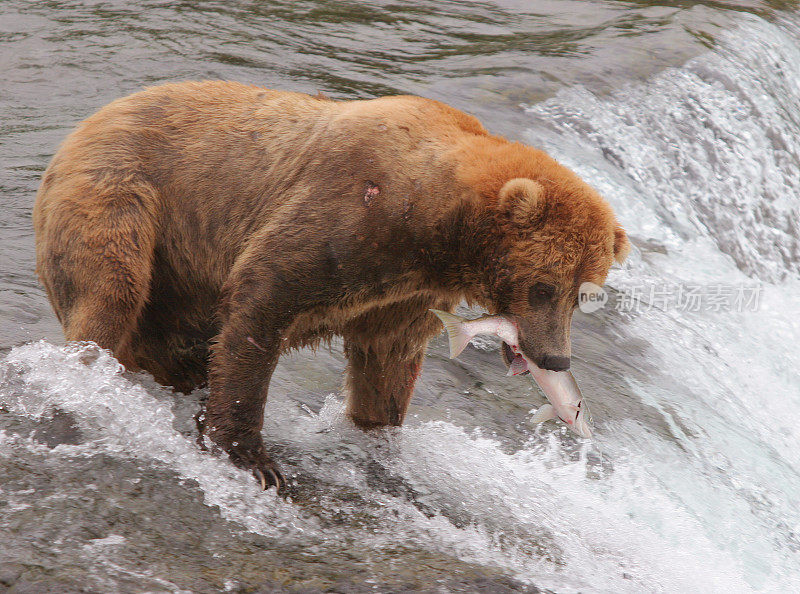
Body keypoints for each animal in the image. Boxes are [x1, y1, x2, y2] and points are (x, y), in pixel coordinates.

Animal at [32, 81, 632, 488]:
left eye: (584, 293)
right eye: (544, 287)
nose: (555, 358)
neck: (438, 228)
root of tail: (83, 126)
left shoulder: (404, 292)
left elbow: (386, 361)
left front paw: (378, 435)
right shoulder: (348, 213)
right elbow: (261, 303)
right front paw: (253, 459)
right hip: (126, 199)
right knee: (111, 290)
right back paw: (86, 375)